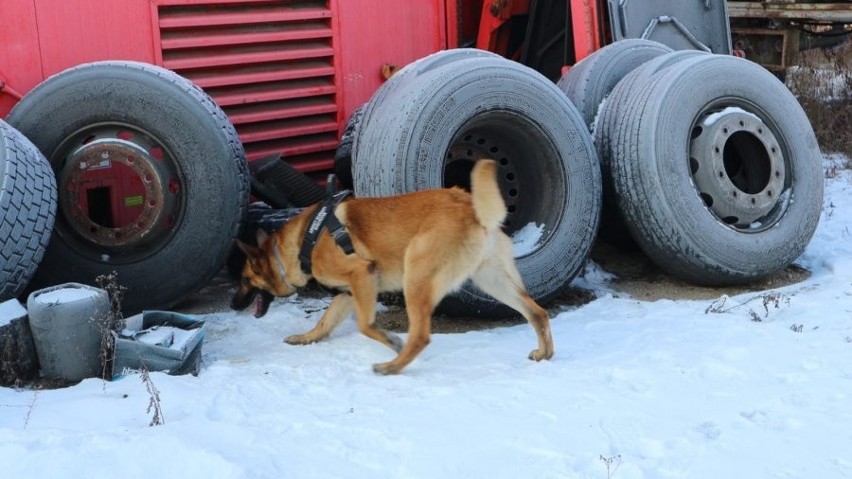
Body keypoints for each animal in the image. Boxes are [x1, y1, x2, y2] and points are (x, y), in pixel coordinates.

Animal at [231, 160, 552, 376]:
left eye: (245, 278)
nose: (233, 306)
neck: (304, 241)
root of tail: (469, 204)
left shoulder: (361, 276)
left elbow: (365, 326)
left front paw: (391, 340)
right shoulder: (348, 292)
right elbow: (324, 321)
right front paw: (306, 338)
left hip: (416, 278)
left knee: (420, 336)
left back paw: (393, 366)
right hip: (491, 280)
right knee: (537, 312)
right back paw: (545, 353)